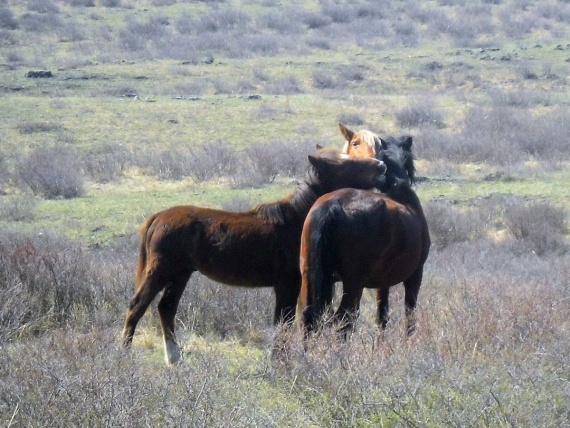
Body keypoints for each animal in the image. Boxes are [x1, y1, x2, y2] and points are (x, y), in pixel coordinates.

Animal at [121, 145, 384, 362]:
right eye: (346, 164)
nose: (381, 165)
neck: (297, 220)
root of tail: (158, 218)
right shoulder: (287, 285)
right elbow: (284, 322)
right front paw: (279, 361)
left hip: (181, 273)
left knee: (166, 307)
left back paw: (174, 358)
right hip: (161, 270)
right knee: (137, 306)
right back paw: (125, 354)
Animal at [300, 135, 428, 340]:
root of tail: (332, 206)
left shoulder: (383, 283)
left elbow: (382, 317)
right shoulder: (415, 275)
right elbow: (410, 314)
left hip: (309, 275)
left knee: (310, 317)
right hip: (353, 284)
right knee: (344, 319)